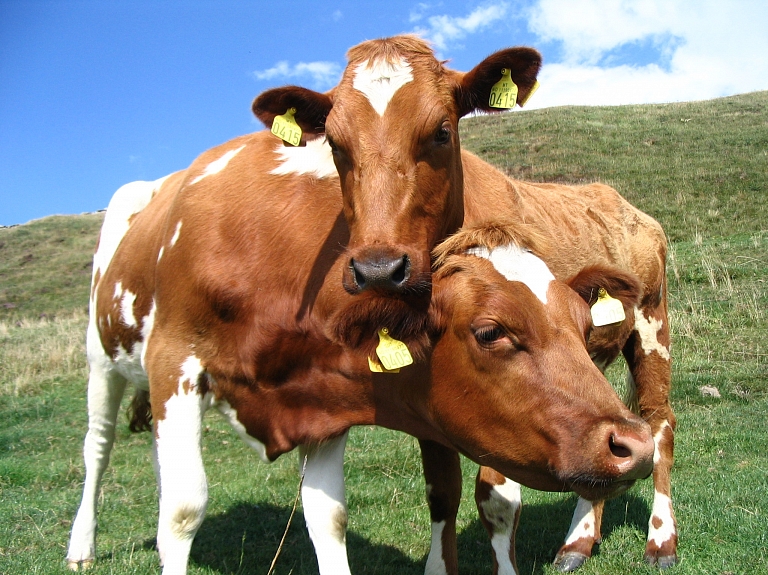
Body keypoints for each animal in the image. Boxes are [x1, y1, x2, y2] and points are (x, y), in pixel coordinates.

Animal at [67, 134, 656, 572]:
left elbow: (327, 519)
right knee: (98, 447)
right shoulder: (175, 362)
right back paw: (81, 546)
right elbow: (184, 510)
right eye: (491, 331)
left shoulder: (319, 400)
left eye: (584, 324)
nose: (633, 443)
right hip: (103, 362)